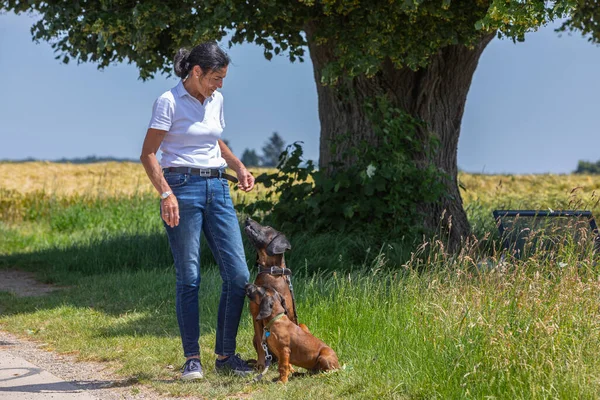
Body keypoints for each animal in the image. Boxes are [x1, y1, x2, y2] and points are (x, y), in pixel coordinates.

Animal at [245, 219, 296, 368]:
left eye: (267, 227)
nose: (248, 219)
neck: (269, 272)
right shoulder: (256, 317)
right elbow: (261, 344)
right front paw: (260, 364)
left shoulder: (289, 315)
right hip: (255, 338)